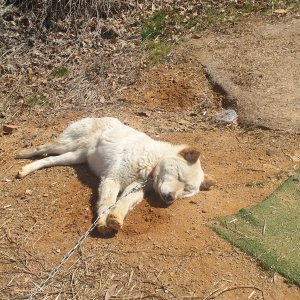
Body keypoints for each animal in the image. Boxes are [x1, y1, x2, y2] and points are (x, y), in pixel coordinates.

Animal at [16, 117, 214, 234]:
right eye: (179, 176)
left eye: (186, 191)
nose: (170, 198)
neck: (151, 164)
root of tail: (96, 116)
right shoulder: (112, 179)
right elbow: (107, 202)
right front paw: (103, 221)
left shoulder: (135, 189)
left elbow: (123, 203)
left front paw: (115, 217)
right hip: (65, 145)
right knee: (42, 148)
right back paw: (22, 154)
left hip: (75, 157)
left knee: (48, 160)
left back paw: (26, 169)